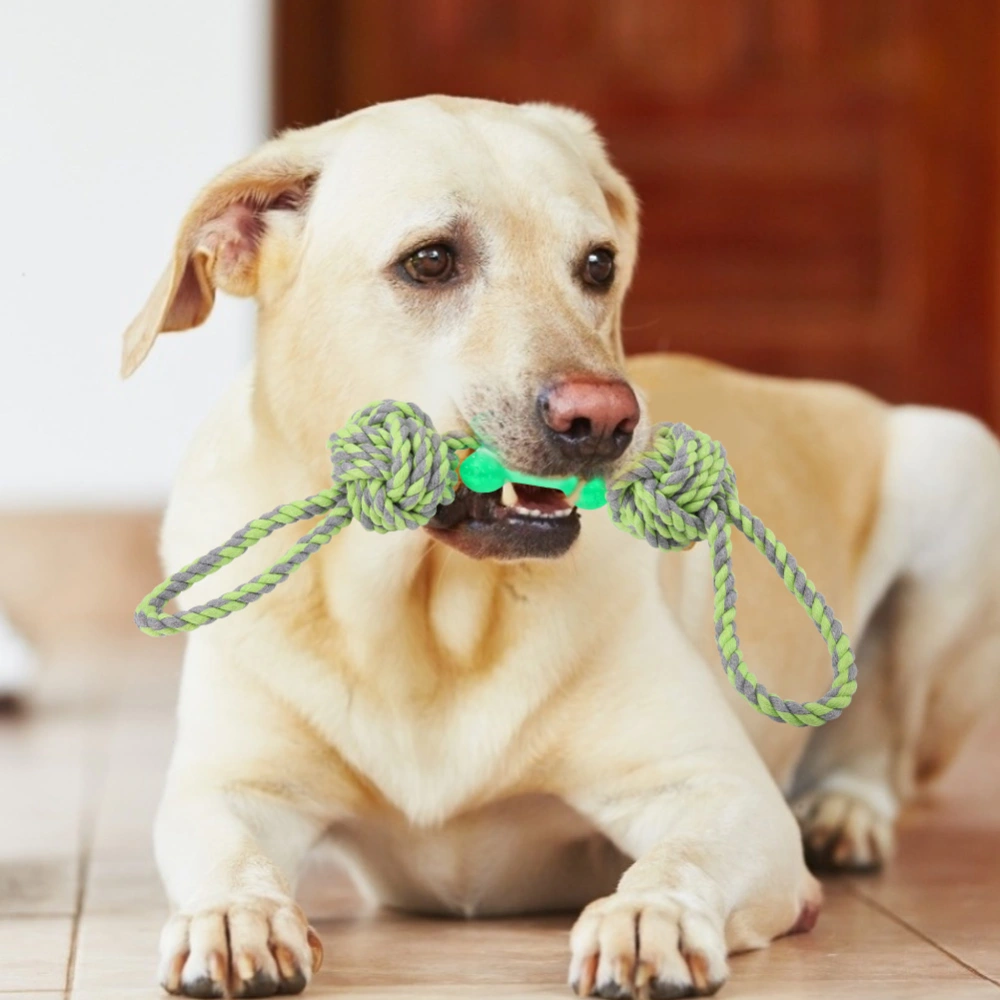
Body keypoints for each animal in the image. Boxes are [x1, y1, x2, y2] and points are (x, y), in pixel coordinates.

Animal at [119, 95, 1000, 1000]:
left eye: (598, 265)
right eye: (431, 260)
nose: (604, 418)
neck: (425, 622)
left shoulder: (721, 791)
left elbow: (676, 860)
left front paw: (648, 917)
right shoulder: (226, 787)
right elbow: (230, 855)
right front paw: (234, 916)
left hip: (958, 468)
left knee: (882, 745)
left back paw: (844, 811)